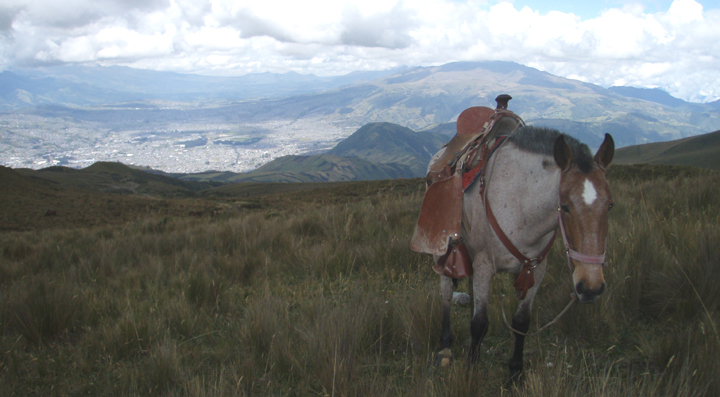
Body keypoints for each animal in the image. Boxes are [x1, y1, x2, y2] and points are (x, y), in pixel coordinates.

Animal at [430, 125, 616, 382]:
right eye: (565, 206)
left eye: (610, 206)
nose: (590, 287)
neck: (521, 206)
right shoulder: (486, 265)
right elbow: (479, 323)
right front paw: (471, 368)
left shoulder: (535, 269)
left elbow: (521, 323)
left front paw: (515, 374)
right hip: (444, 255)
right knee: (447, 294)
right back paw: (445, 349)